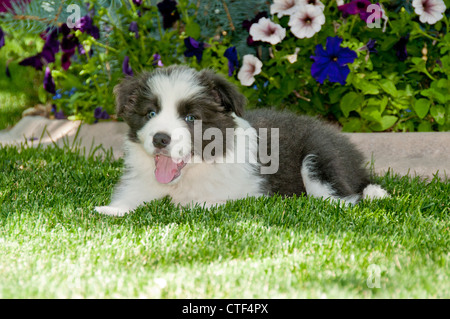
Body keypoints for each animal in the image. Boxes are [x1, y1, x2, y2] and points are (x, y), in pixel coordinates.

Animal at [96, 66, 390, 219]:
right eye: (150, 113)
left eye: (191, 117)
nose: (160, 138)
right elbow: (130, 201)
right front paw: (111, 210)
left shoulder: (241, 193)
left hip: (320, 156)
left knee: (343, 197)